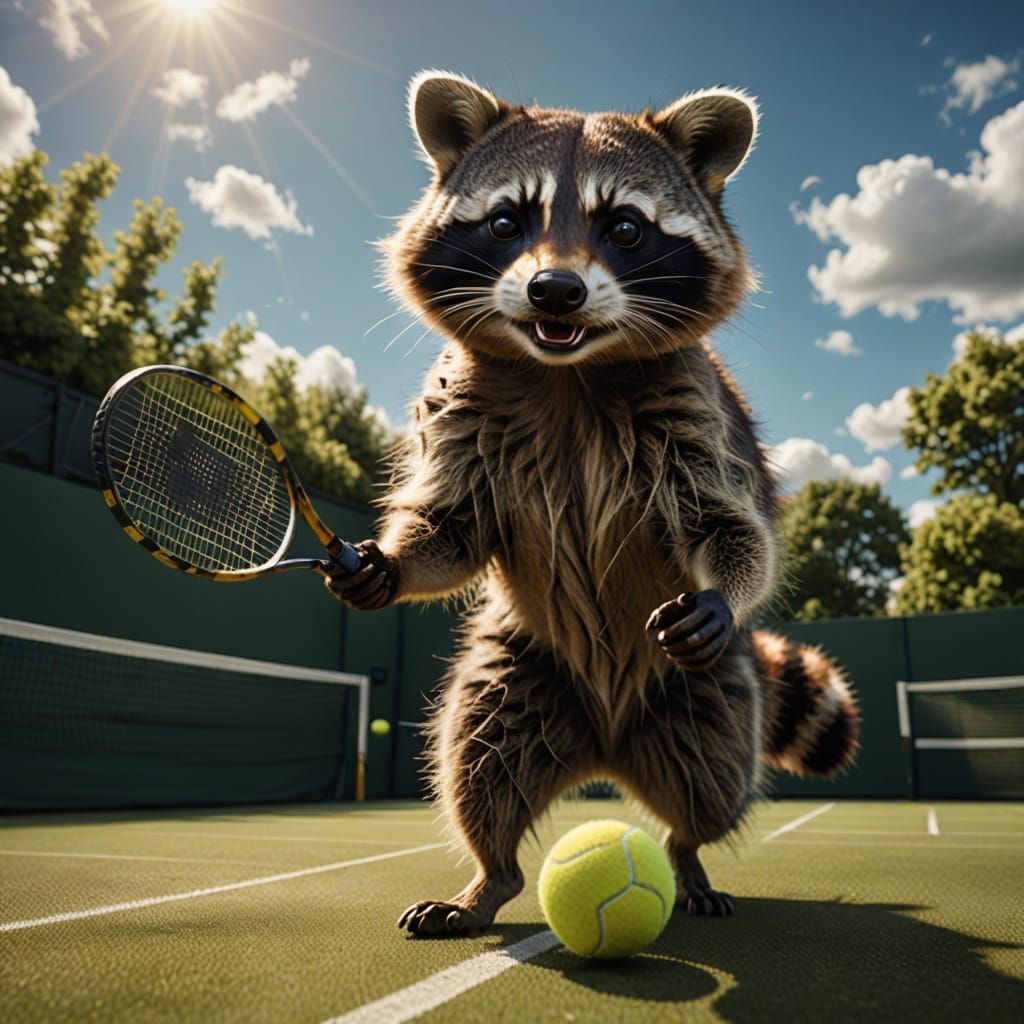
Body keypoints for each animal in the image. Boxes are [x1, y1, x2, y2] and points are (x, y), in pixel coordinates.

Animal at [326, 72, 859, 935]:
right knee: (476, 758)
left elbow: (731, 523)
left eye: (627, 227)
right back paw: (489, 877)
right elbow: (453, 527)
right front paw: (391, 562)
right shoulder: (463, 412)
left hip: (707, 691)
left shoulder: (694, 414)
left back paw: (685, 853)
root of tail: (604, 746)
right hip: (519, 667)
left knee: (711, 783)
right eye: (506, 221)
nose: (555, 290)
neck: (568, 373)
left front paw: (724, 587)